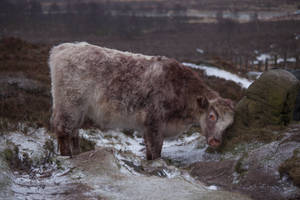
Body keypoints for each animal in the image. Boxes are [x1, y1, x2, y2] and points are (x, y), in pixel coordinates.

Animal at [49, 42, 234, 161]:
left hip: (78, 110)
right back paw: (66, 157)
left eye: (229, 124)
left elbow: (149, 150)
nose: (216, 141)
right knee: (63, 130)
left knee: (74, 131)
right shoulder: (154, 123)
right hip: (68, 104)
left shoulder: (148, 126)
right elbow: (156, 150)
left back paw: (77, 154)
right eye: (211, 116)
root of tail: (61, 49)